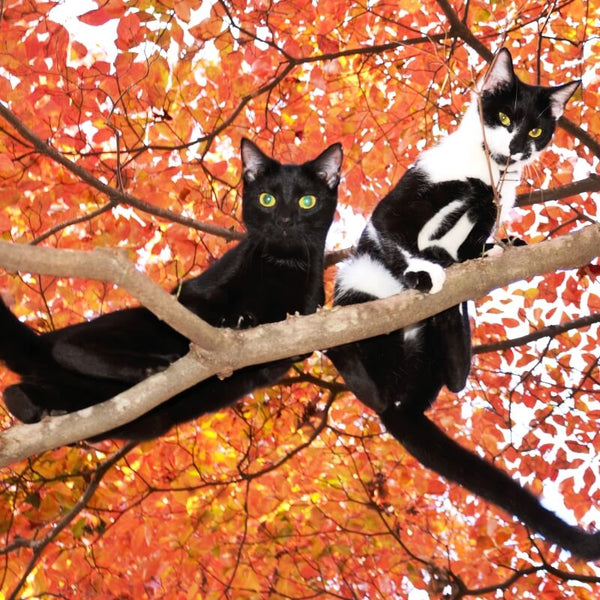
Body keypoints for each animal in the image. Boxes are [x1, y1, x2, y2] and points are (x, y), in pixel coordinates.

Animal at [0, 139, 340, 440]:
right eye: (267, 199)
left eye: (307, 201)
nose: (285, 220)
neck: (282, 266)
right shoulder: (193, 295)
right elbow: (208, 313)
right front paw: (239, 322)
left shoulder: (304, 323)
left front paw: (249, 321)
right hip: (141, 324)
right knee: (69, 346)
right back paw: (148, 366)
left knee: (19, 390)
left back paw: (37, 409)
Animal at [332, 49, 600, 560]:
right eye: (505, 117)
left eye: (535, 131)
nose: (516, 146)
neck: (488, 170)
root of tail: (403, 404)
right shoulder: (401, 203)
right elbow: (396, 235)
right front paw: (424, 268)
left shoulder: (493, 204)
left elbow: (480, 233)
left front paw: (492, 245)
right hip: (355, 285)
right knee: (365, 377)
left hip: (434, 359)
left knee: (455, 377)